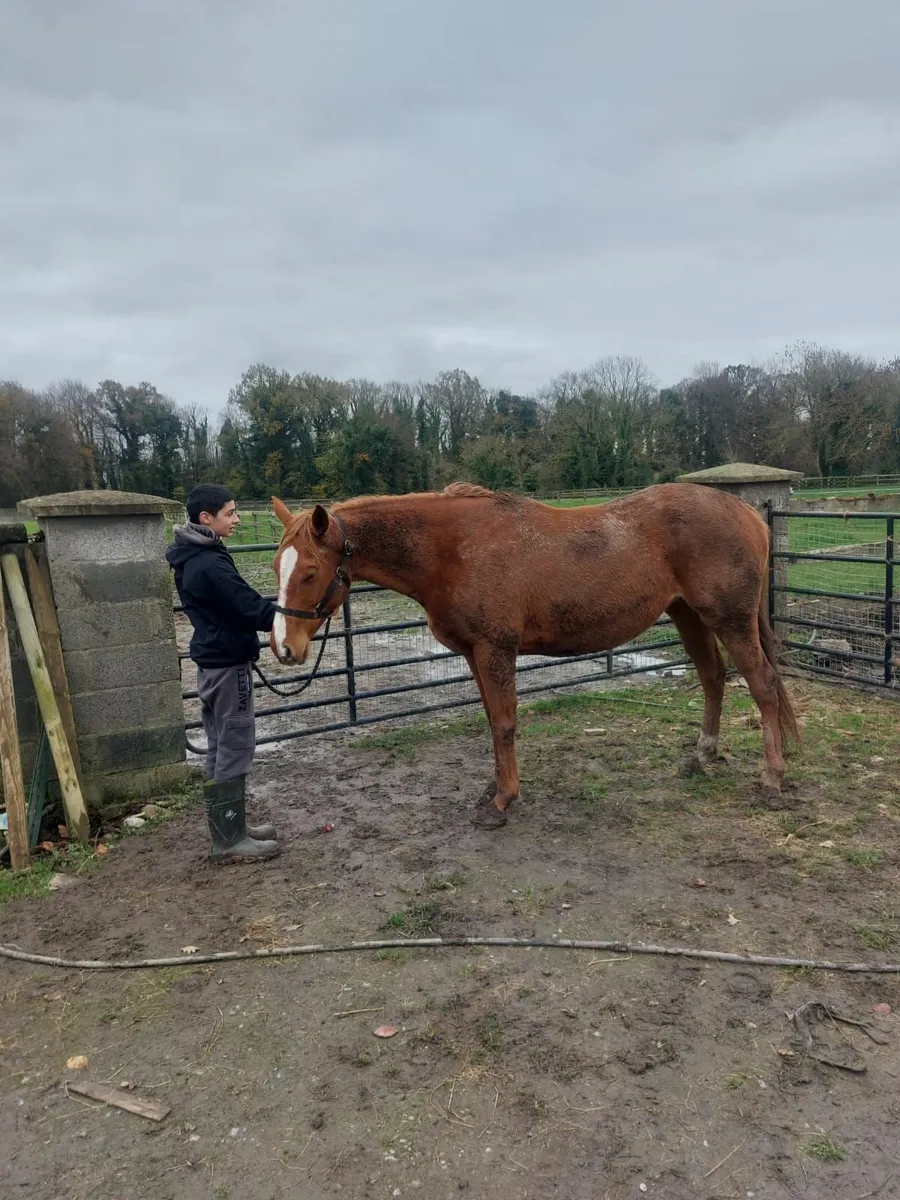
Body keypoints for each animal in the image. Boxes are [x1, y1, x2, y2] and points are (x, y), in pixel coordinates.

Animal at [270, 483, 799, 828]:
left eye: (311, 571)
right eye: (278, 566)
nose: (284, 648)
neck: (452, 550)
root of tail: (747, 512)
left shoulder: (495, 648)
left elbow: (504, 722)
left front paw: (503, 801)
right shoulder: (474, 654)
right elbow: (491, 721)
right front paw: (493, 788)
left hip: (730, 619)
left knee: (763, 687)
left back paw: (772, 780)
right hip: (688, 614)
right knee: (713, 676)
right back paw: (702, 756)